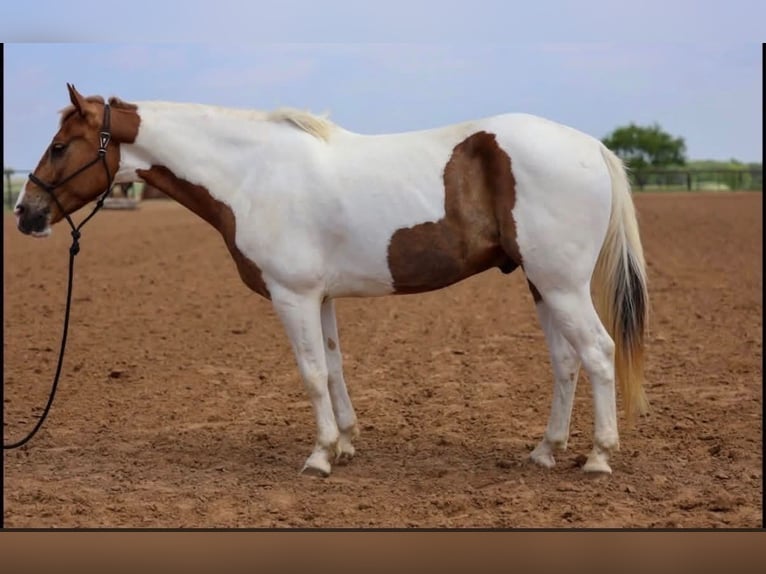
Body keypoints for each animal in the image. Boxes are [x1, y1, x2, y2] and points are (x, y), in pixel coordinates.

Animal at [14, 84, 649, 477]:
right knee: (566, 362)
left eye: (60, 146)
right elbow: (336, 365)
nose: (25, 212)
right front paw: (345, 442)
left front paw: (319, 455)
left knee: (598, 353)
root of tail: (590, 146)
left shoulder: (292, 295)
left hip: (561, 285)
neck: (251, 173)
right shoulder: (319, 298)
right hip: (543, 285)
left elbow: (312, 372)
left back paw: (598, 457)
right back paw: (545, 451)